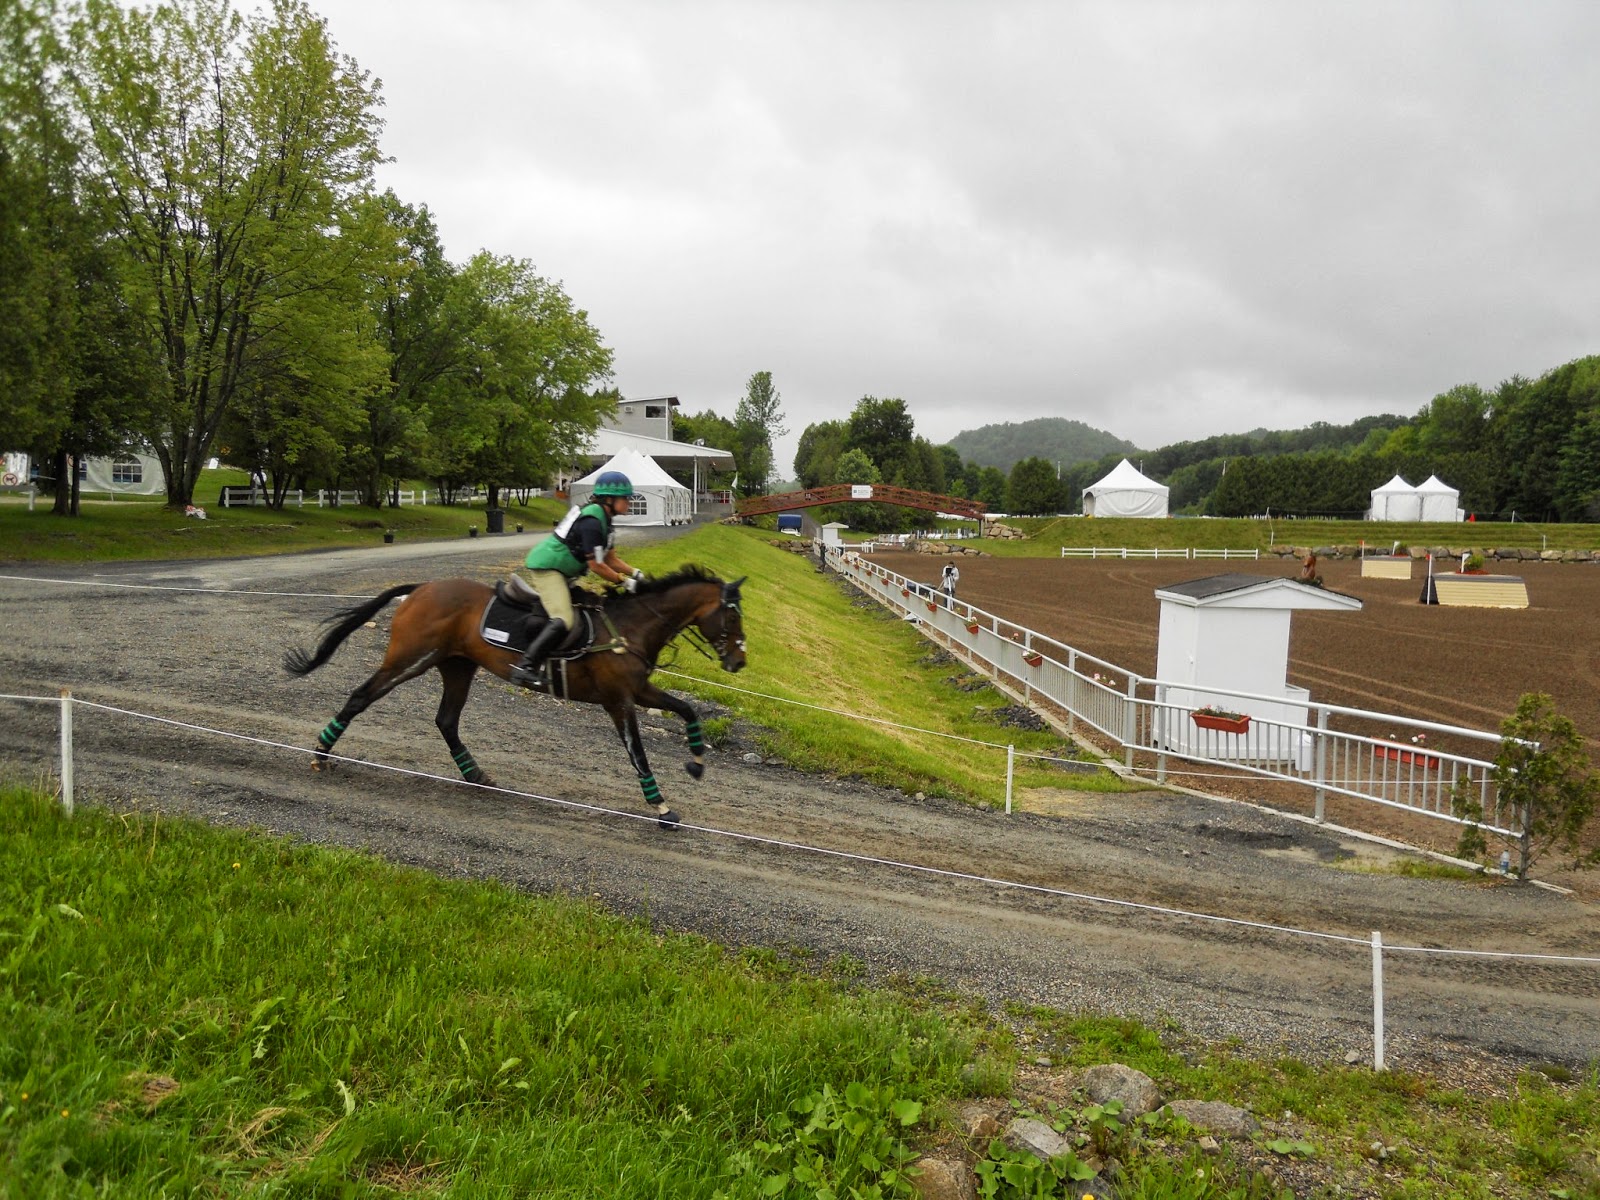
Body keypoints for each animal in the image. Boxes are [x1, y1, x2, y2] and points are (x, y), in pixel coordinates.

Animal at [283, 565, 747, 827]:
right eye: (731, 617)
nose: (739, 661)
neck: (630, 627)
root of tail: (423, 587)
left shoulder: (640, 690)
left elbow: (686, 709)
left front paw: (696, 762)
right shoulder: (619, 700)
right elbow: (639, 754)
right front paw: (662, 808)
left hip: (457, 666)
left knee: (446, 720)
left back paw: (476, 775)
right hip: (410, 659)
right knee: (361, 697)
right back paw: (321, 753)